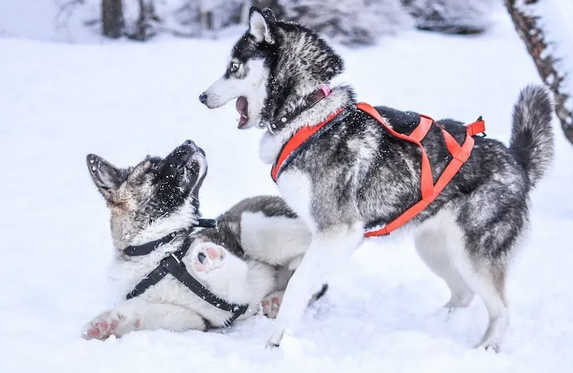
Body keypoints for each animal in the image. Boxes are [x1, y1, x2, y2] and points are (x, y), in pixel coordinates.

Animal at [82, 140, 310, 340]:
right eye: (153, 166)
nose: (189, 141)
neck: (158, 250)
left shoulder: (241, 288)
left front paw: (209, 259)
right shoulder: (193, 318)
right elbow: (145, 312)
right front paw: (108, 324)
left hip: (254, 226)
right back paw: (276, 300)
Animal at [200, 5, 556, 350]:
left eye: (233, 67)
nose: (202, 97)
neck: (307, 113)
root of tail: (518, 163)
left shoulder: (337, 230)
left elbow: (299, 282)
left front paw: (276, 342)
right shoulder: (332, 236)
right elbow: (306, 278)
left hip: (474, 257)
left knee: (502, 310)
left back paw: (486, 348)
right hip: (434, 249)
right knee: (464, 294)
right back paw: (436, 324)